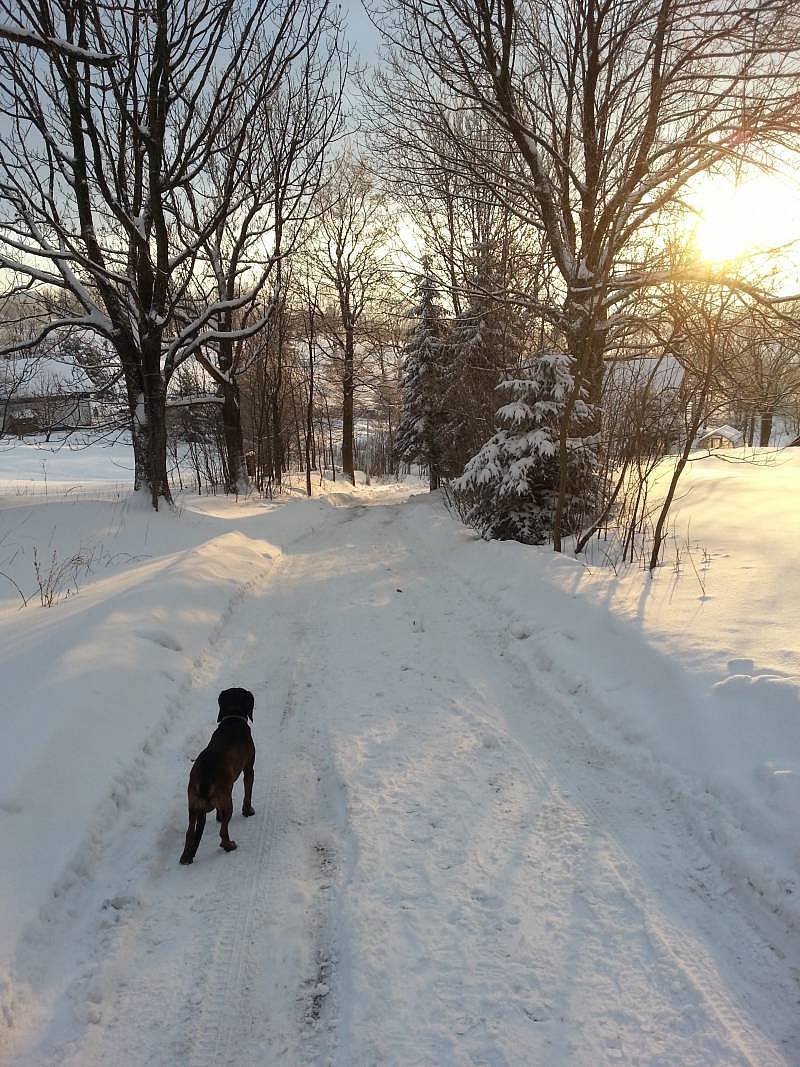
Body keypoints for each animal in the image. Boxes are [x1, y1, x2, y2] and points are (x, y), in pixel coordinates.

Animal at [181, 682, 257, 866]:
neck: (233, 718)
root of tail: (204, 782)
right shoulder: (249, 768)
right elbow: (248, 792)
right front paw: (248, 811)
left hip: (192, 806)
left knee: (189, 832)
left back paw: (185, 857)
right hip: (227, 803)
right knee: (223, 833)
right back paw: (230, 845)